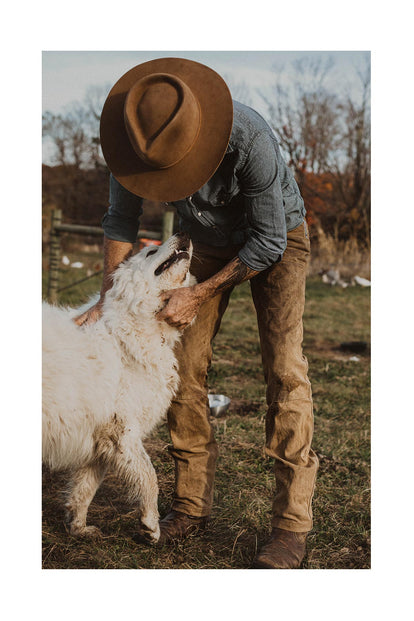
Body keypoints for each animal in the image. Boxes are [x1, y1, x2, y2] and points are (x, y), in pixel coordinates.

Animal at [43, 230, 194, 540]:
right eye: (151, 252)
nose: (185, 233)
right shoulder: (123, 432)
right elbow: (149, 476)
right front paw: (151, 524)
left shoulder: (100, 439)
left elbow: (85, 488)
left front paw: (79, 527)